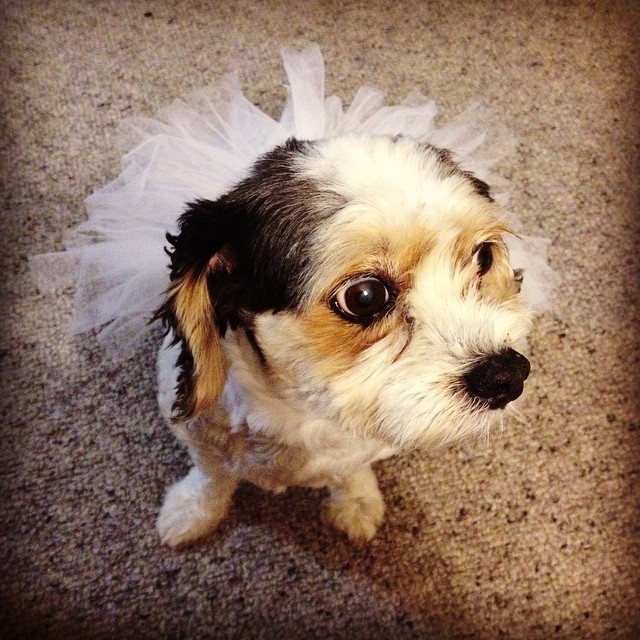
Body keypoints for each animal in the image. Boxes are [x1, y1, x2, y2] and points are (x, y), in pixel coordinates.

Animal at [154, 132, 528, 548]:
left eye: (484, 256)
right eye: (364, 296)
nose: (507, 375)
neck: (297, 411)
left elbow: (350, 471)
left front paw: (356, 504)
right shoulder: (200, 437)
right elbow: (211, 477)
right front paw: (191, 513)